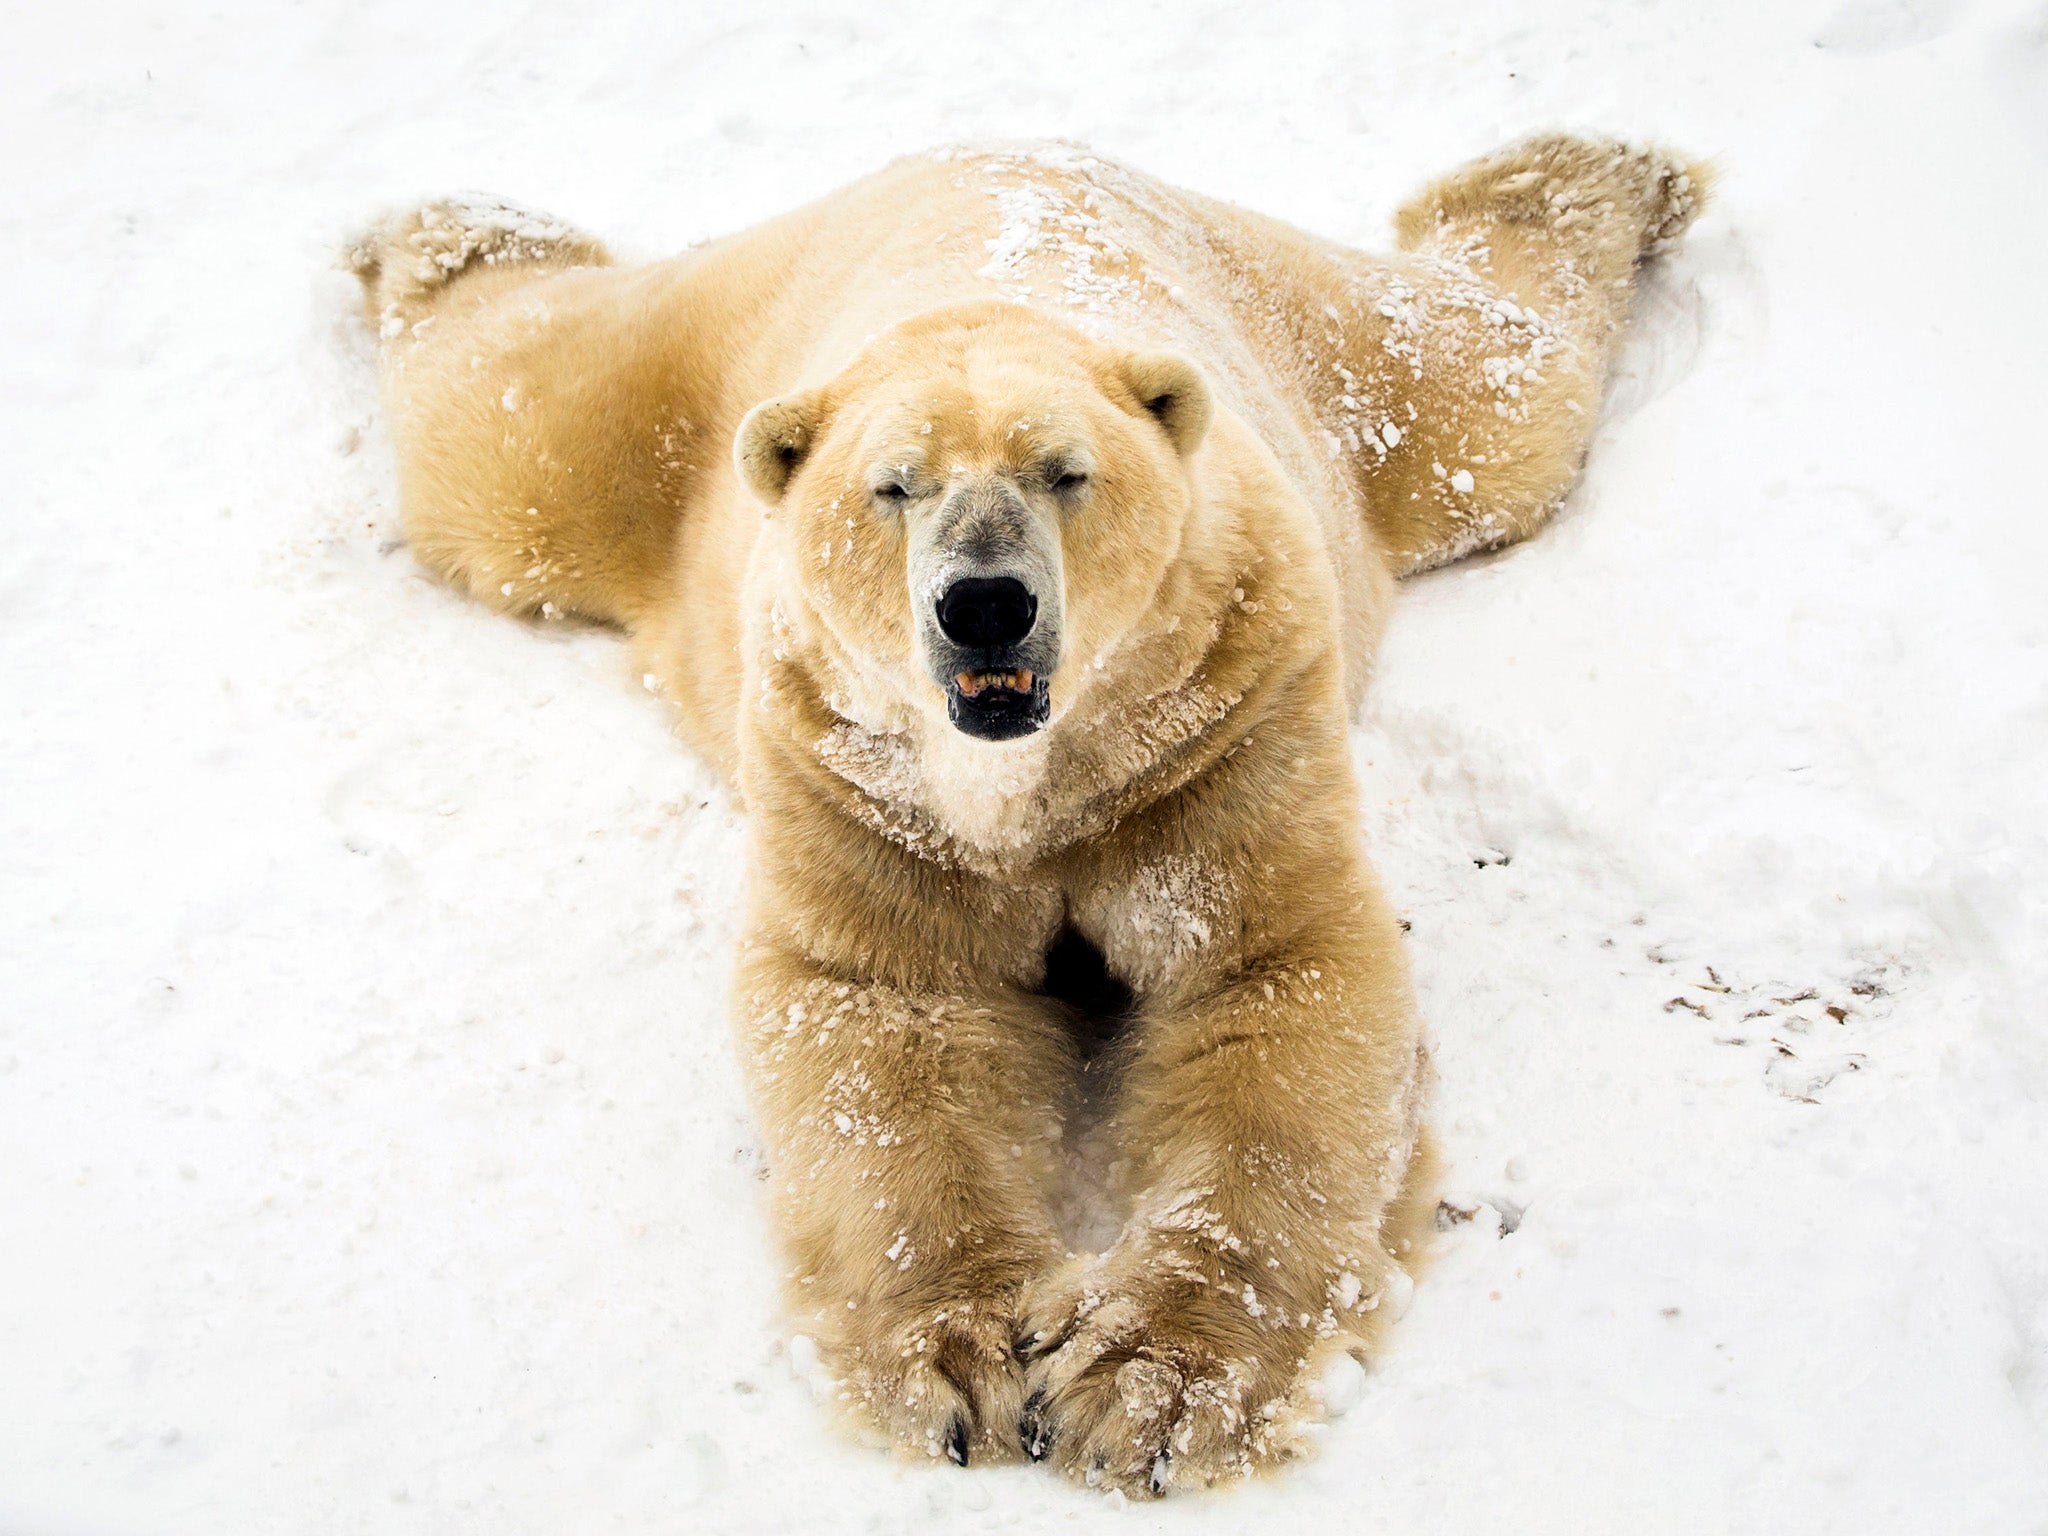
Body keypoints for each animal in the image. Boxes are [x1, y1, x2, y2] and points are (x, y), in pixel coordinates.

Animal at [352, 138, 1712, 1499]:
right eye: (891, 487)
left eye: (1067, 474)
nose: (985, 605)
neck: (1033, 780)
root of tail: (997, 149)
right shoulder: (854, 772)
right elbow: (891, 1007)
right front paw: (969, 1362)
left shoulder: (1216, 717)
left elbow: (1269, 970)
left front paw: (1150, 1385)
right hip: (681, 375)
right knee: (508, 431)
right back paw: (441, 228)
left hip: (1315, 344)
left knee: (1490, 388)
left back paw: (1598, 173)